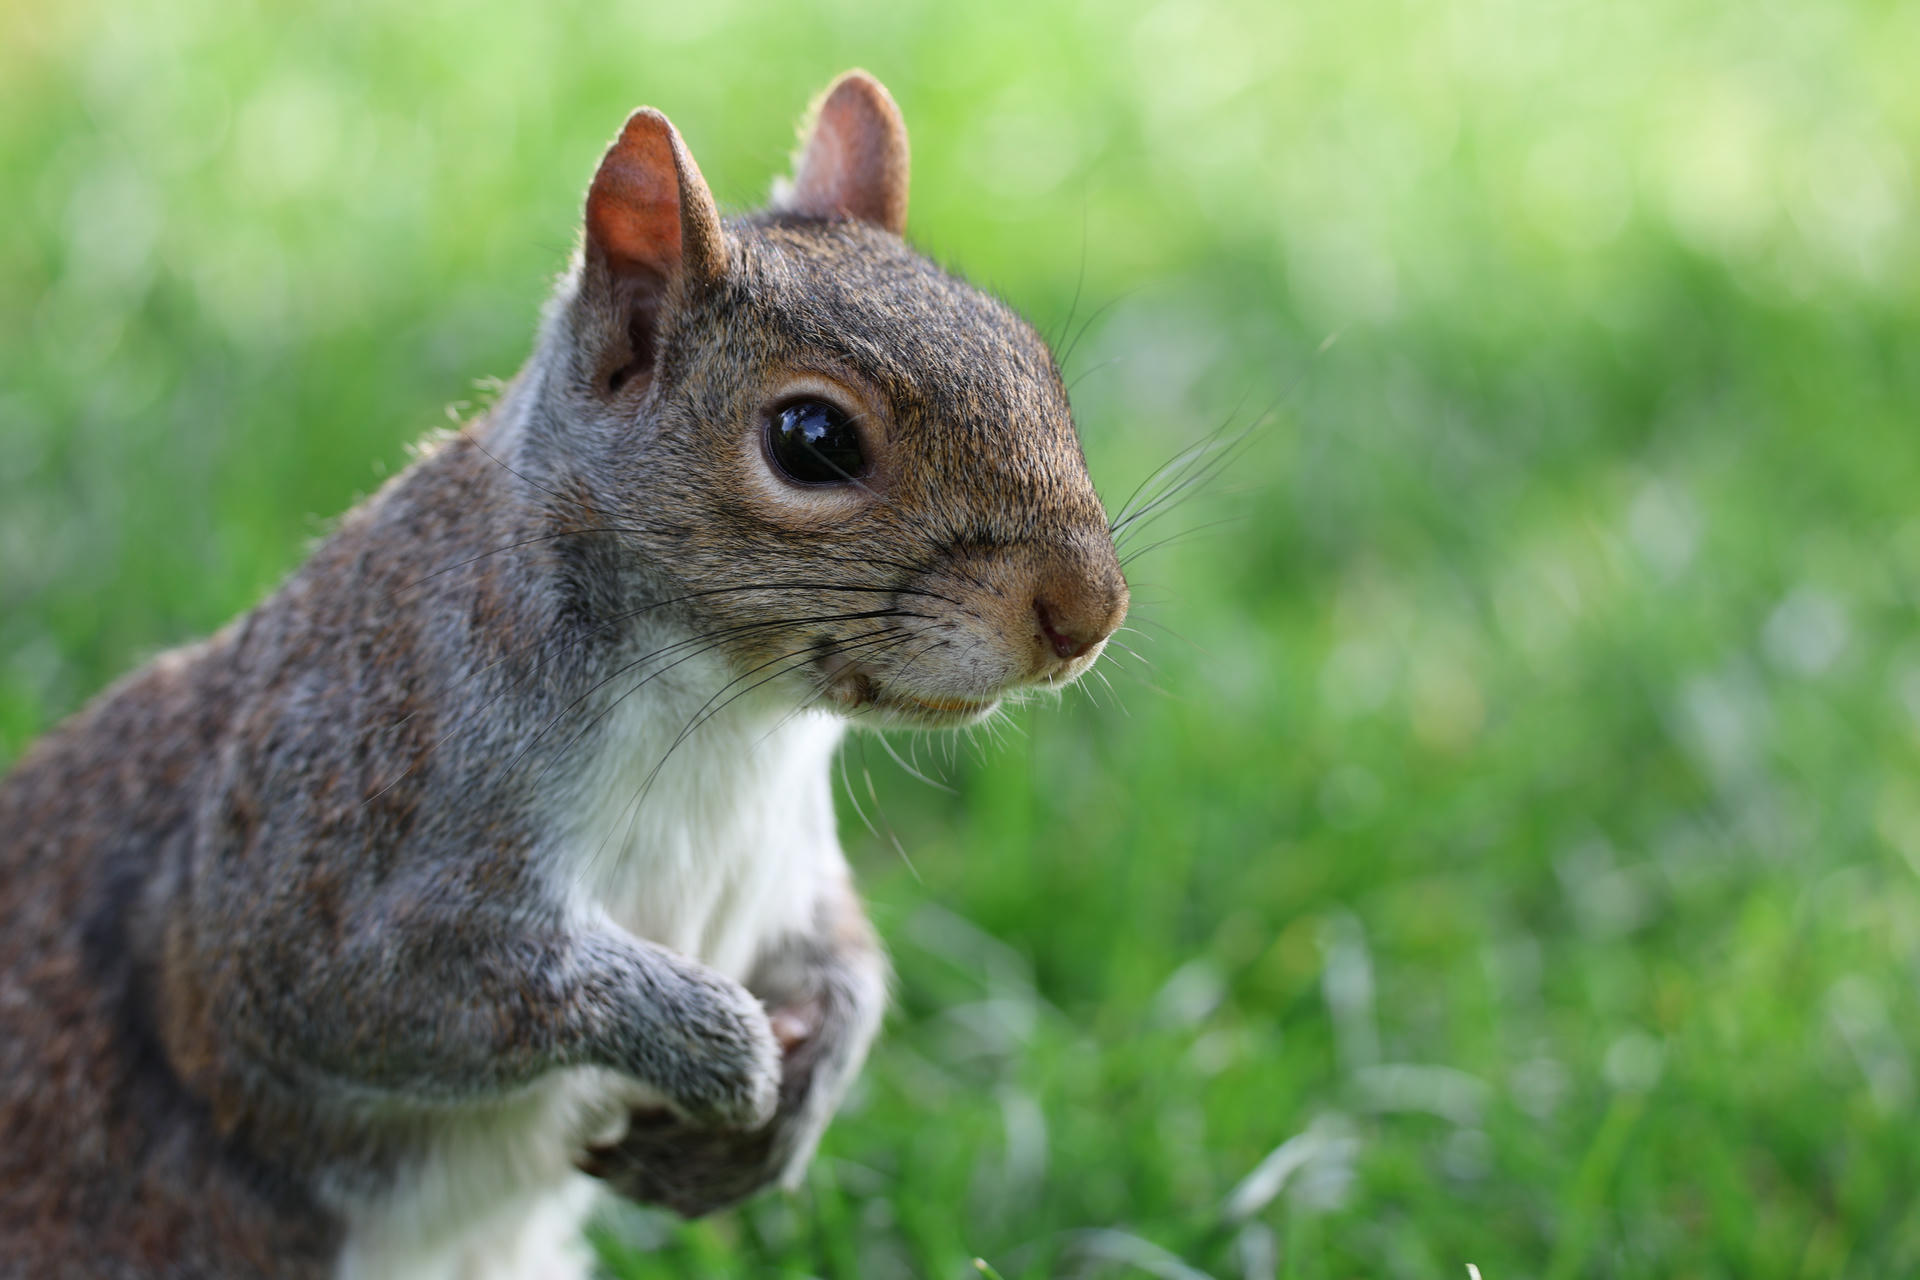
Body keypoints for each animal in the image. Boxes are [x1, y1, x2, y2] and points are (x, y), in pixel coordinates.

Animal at [0, 70, 1127, 1280]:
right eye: (810, 437)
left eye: (1033, 359)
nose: (1087, 612)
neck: (731, 714)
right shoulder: (336, 828)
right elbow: (372, 990)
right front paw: (725, 1053)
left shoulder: (793, 870)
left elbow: (845, 961)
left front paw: (807, 1083)